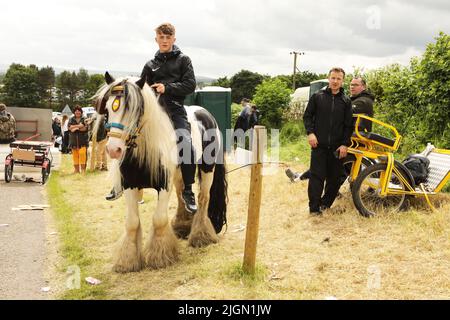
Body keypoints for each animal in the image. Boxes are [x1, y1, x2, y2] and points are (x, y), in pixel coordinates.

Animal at [95, 73, 229, 272]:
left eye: (134, 109)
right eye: (108, 110)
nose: (113, 150)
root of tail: (206, 115)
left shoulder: (164, 186)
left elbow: (158, 219)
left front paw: (160, 256)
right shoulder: (129, 186)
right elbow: (132, 222)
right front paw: (128, 261)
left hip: (207, 168)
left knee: (203, 198)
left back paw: (201, 236)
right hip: (180, 175)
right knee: (183, 195)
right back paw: (182, 226)